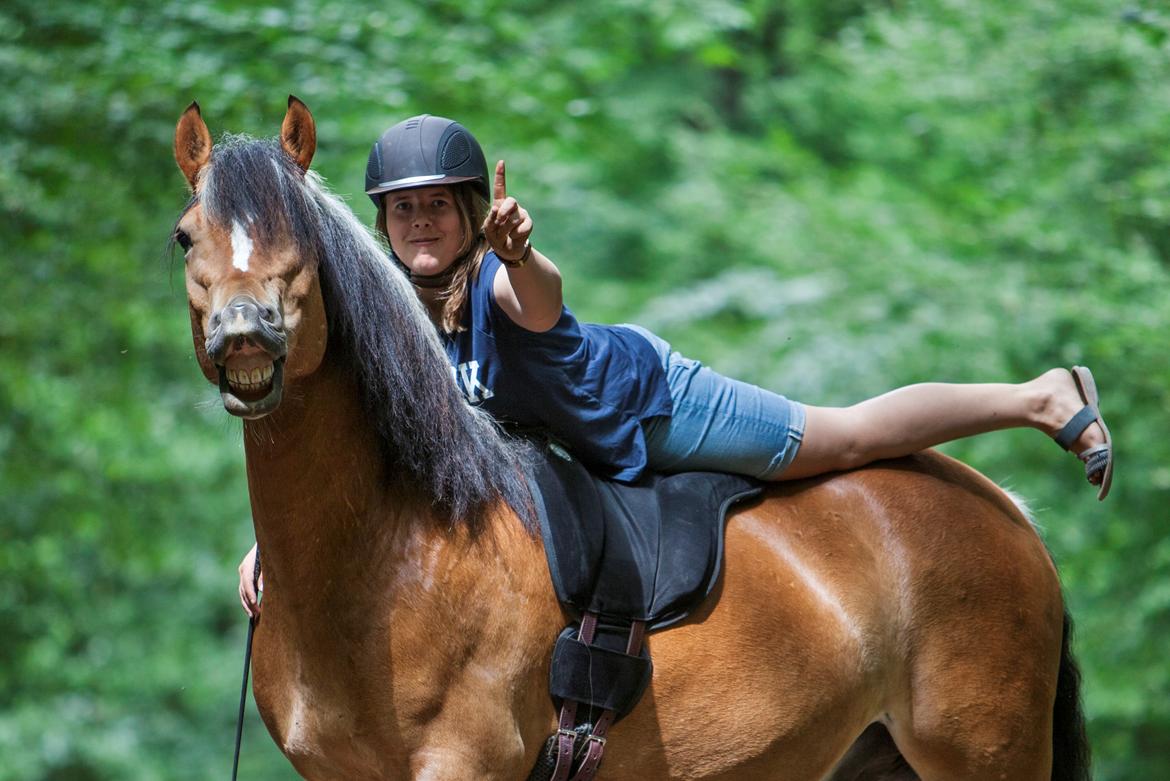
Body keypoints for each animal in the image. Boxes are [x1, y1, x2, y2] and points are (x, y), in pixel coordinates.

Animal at [170, 99, 1085, 781]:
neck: (392, 551)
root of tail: (1010, 515)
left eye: (301, 235)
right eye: (186, 235)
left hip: (981, 753)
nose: (246, 334)